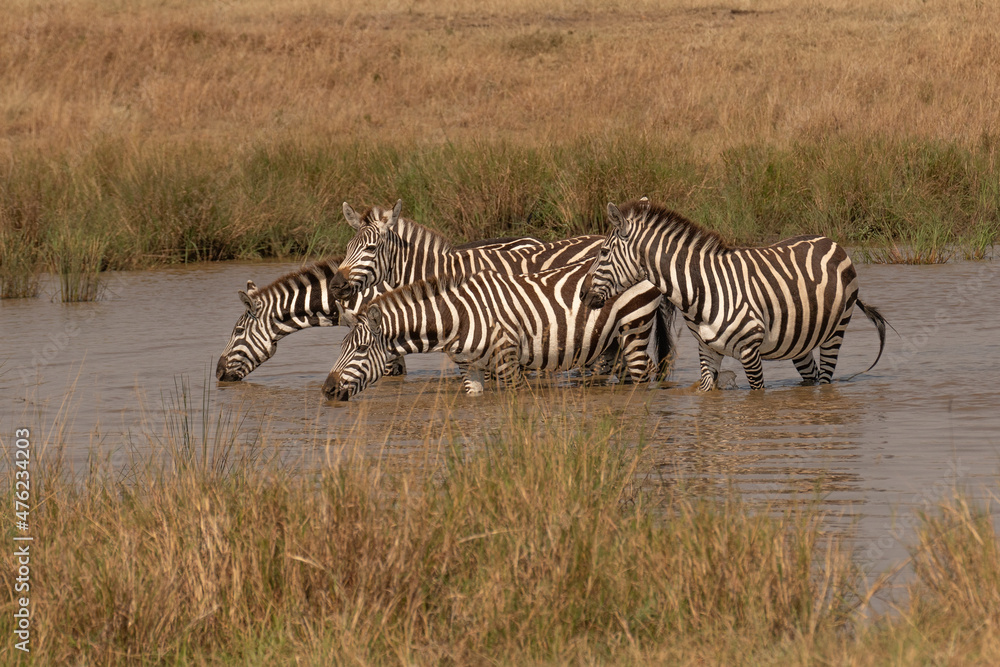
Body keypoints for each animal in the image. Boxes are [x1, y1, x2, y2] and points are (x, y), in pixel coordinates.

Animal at [323, 261, 668, 401]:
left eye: (361, 349)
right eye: (340, 349)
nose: (326, 391)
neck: (457, 317)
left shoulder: (507, 360)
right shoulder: (470, 368)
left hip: (635, 327)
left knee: (643, 374)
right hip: (614, 340)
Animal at [580, 199, 889, 391]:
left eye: (603, 253)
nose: (583, 295)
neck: (701, 289)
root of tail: (830, 240)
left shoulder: (750, 351)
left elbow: (756, 395)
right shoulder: (707, 350)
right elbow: (705, 393)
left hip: (836, 331)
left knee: (825, 379)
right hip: (799, 339)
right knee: (811, 377)